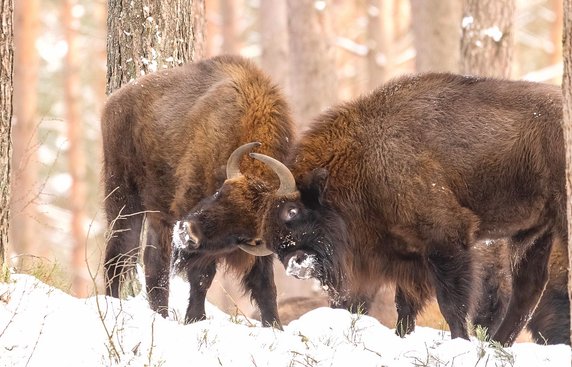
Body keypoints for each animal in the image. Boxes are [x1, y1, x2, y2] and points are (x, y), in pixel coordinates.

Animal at [101, 55, 294, 328]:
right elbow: (202, 277)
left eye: (243, 236)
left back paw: (159, 315)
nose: (188, 233)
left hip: (157, 215)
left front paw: (274, 326)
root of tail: (114, 102)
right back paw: (111, 304)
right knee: (118, 255)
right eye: (220, 193)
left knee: (153, 265)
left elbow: (265, 286)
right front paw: (195, 319)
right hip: (124, 200)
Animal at [226, 73, 564, 346]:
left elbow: (451, 304)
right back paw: (497, 345)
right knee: (529, 289)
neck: (364, 157)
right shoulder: (408, 257)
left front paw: (460, 342)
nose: (295, 264)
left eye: (292, 211)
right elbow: (405, 308)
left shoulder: (446, 241)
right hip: (534, 232)